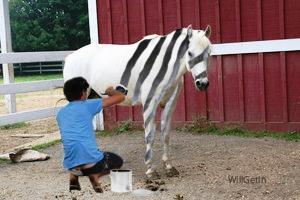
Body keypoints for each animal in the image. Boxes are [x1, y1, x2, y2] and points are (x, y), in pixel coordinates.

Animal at [63, 24, 211, 177]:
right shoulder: (149, 103)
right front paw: (150, 170)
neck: (164, 65)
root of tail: (70, 56)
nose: (202, 84)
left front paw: (168, 166)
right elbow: (150, 135)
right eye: (190, 53)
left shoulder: (170, 103)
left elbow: (166, 134)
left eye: (209, 53)